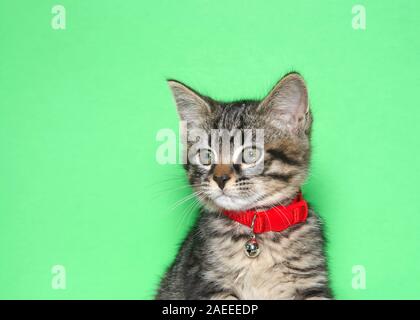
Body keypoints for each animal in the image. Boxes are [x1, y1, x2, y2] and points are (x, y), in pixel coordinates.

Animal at [154, 73, 332, 300]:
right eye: (206, 156)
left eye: (250, 154)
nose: (220, 178)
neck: (257, 228)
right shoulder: (208, 282)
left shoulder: (312, 282)